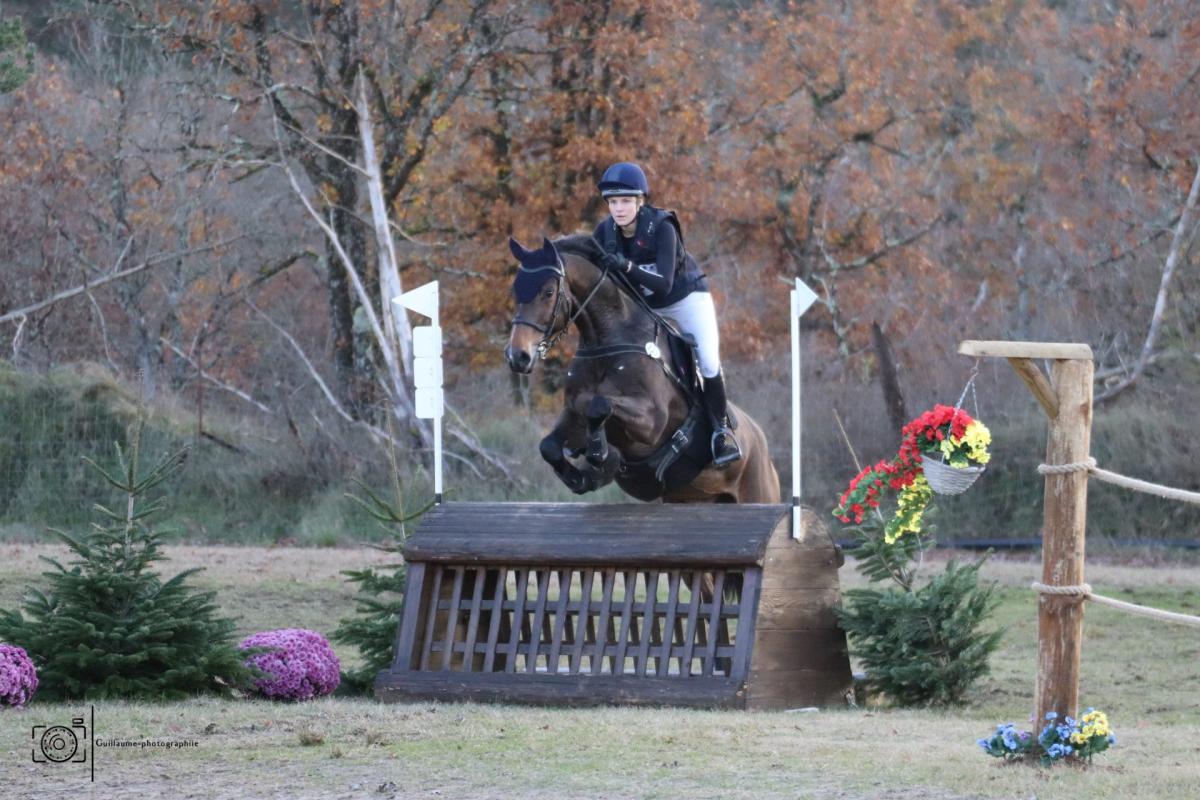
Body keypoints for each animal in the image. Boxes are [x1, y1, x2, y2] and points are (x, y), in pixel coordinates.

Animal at [504, 234, 780, 504]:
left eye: (548, 292)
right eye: (515, 290)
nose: (517, 356)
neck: (605, 342)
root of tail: (762, 444)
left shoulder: (652, 421)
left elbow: (599, 405)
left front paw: (598, 452)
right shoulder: (572, 413)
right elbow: (549, 446)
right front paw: (582, 477)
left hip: (757, 493)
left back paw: (725, 446)